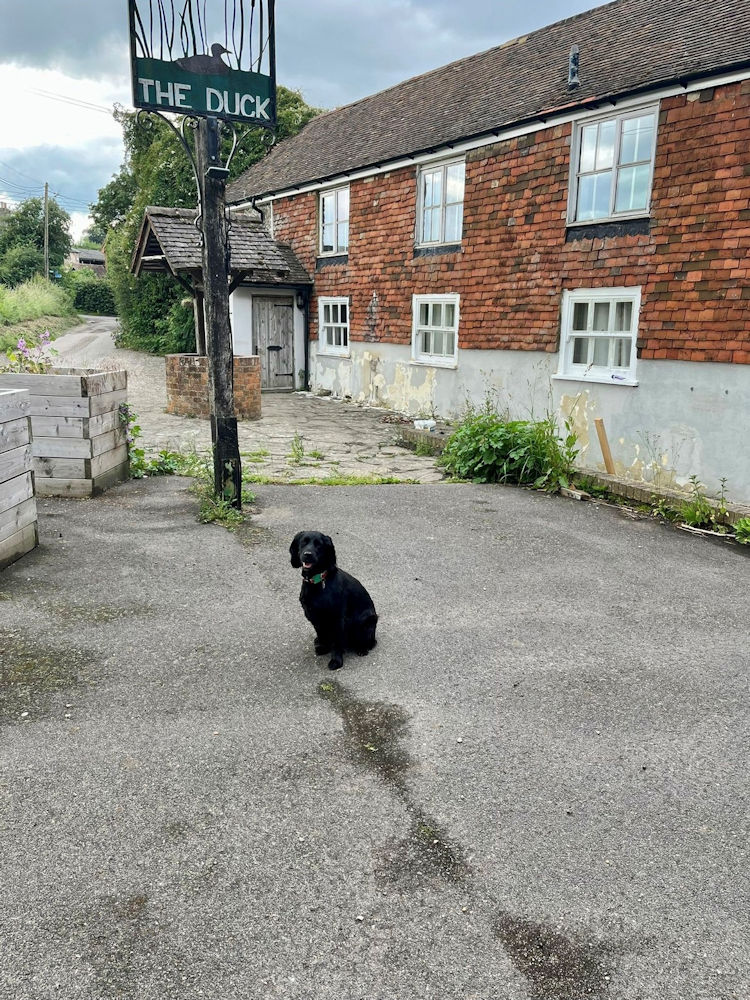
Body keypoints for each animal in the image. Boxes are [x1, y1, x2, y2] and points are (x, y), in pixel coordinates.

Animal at [289, 531, 378, 671]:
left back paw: (362, 649)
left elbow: (336, 642)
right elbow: (321, 634)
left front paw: (336, 661)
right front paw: (323, 647)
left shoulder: (337, 618)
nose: (308, 554)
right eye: (303, 542)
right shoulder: (314, 616)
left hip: (367, 621)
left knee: (371, 642)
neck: (318, 582)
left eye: (319, 545)